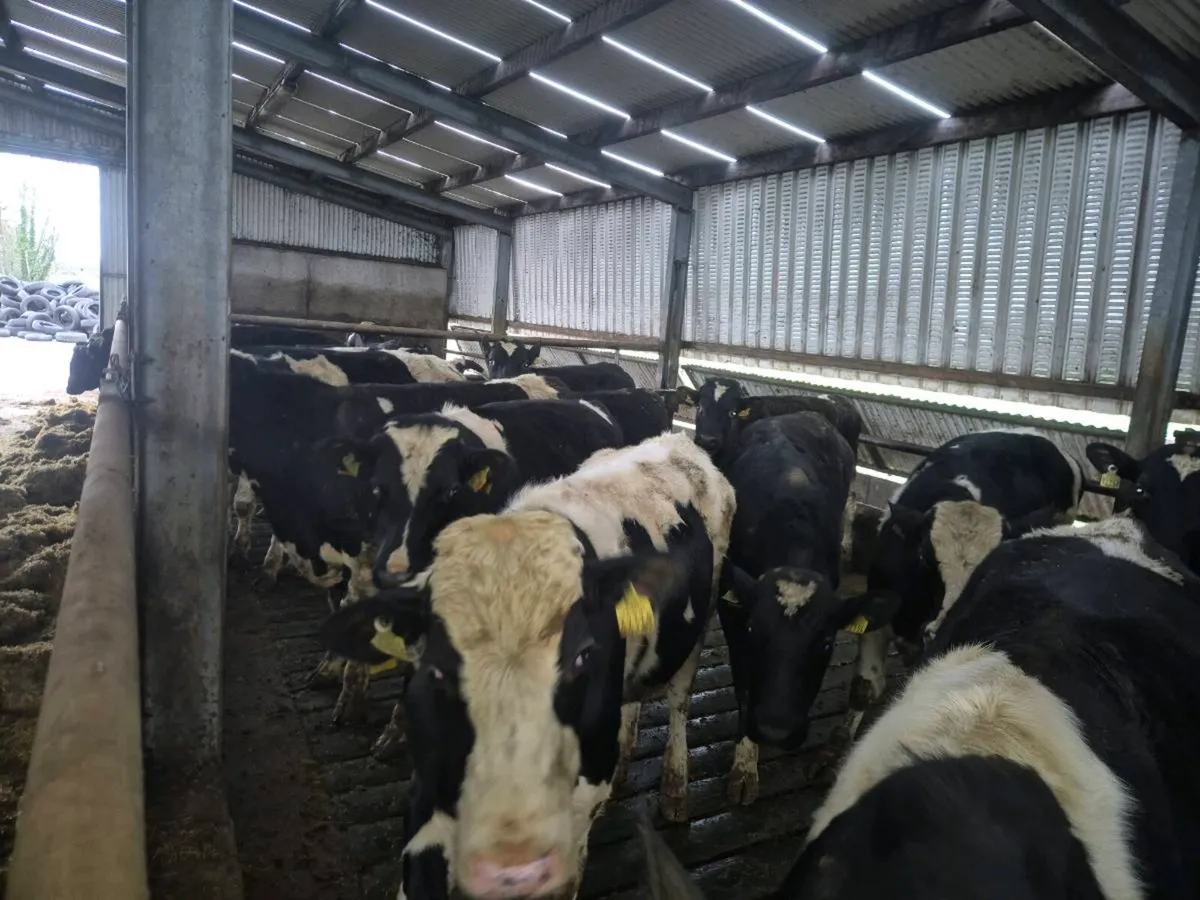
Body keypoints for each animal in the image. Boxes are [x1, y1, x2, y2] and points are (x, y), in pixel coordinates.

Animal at [318, 432, 736, 900]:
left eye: (582, 654)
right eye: (436, 667)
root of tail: (678, 439)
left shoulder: (583, 794)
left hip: (700, 623)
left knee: (680, 699)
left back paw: (675, 787)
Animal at [714, 411, 882, 806]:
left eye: (826, 642)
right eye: (752, 630)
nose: (775, 730)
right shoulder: (731, 615)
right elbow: (744, 685)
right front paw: (744, 764)